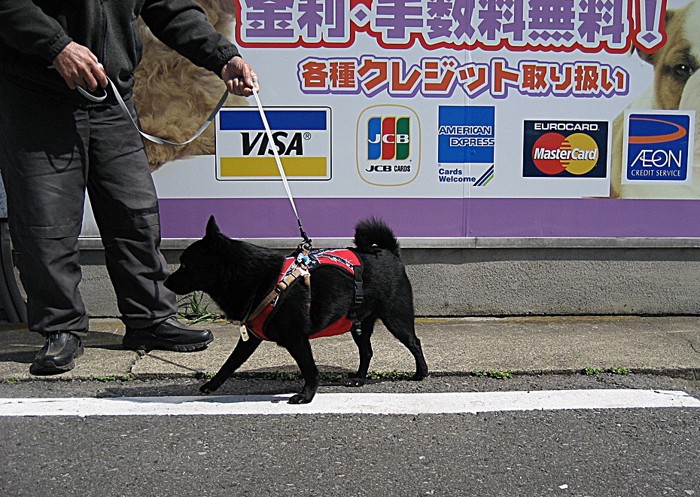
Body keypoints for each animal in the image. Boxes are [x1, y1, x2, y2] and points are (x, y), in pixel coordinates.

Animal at [165, 215, 426, 402]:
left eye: (186, 265)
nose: (166, 282)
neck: (259, 279)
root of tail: (389, 252)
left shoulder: (297, 340)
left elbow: (309, 369)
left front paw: (307, 395)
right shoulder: (250, 339)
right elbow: (230, 363)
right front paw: (212, 385)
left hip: (395, 318)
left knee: (414, 342)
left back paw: (421, 373)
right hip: (357, 323)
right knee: (367, 351)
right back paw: (360, 379)